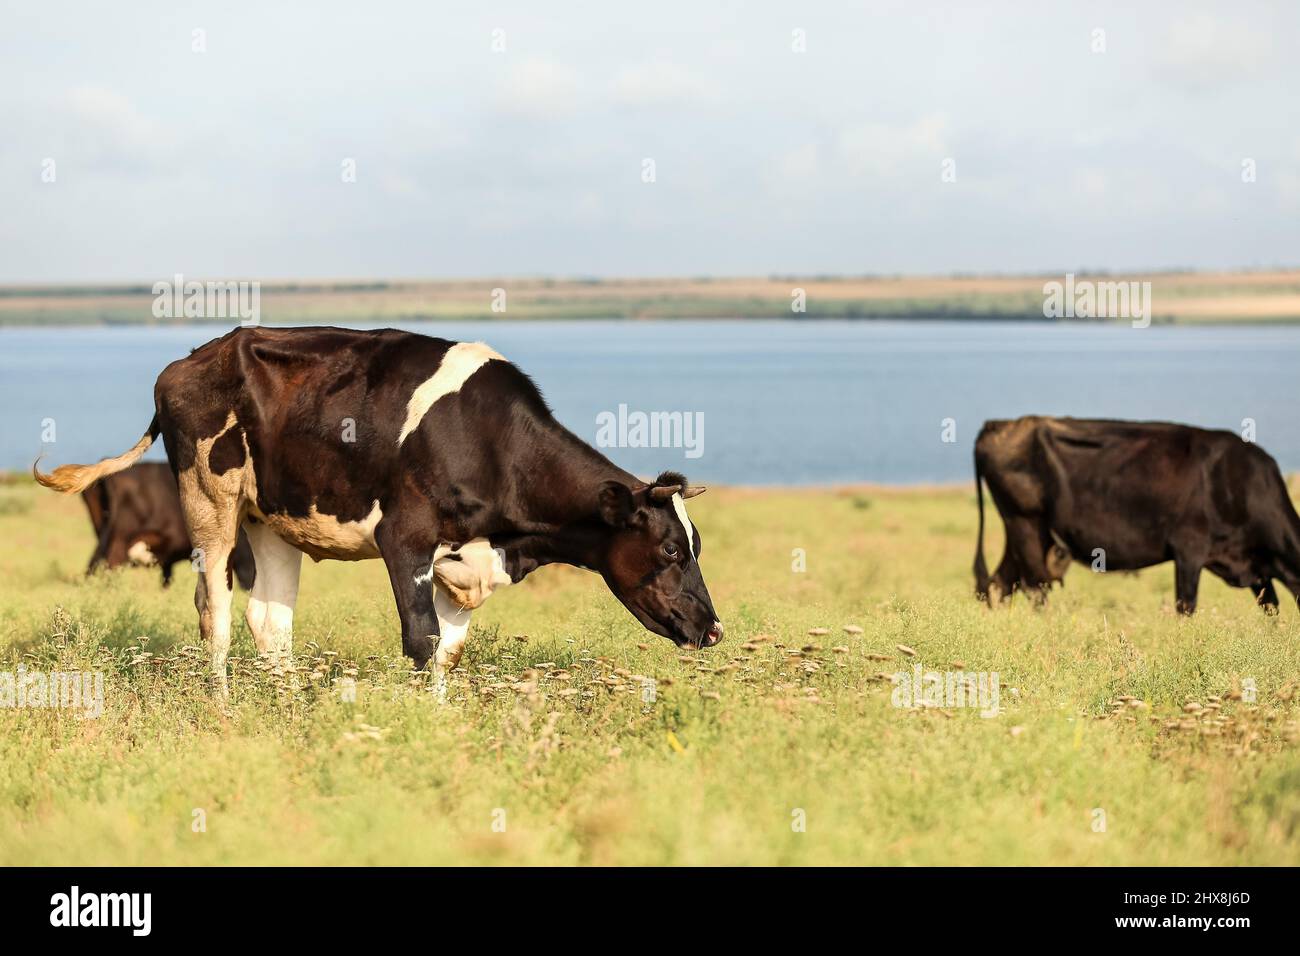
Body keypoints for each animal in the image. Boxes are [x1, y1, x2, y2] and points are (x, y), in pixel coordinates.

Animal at [973, 416, 1300, 614]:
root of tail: (1000, 425)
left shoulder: (1258, 570)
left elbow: (1271, 608)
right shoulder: (1189, 549)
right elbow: (1186, 605)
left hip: (1023, 532)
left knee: (1000, 583)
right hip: (1025, 523)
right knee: (1034, 587)